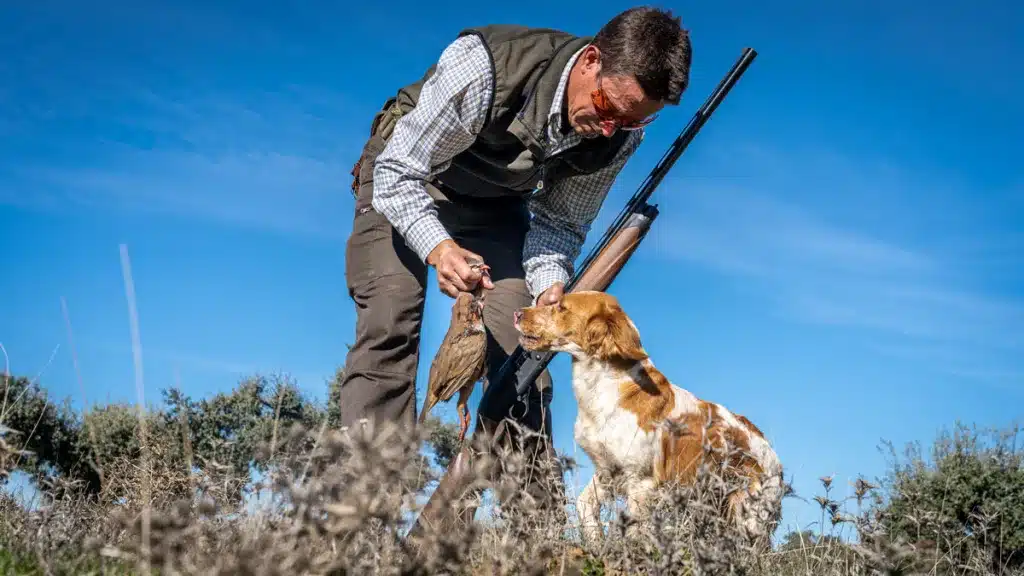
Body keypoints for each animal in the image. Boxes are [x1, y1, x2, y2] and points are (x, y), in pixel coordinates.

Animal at [512, 291, 782, 541]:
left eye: (561, 307)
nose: (517, 313)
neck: (604, 386)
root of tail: (770, 451)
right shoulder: (608, 470)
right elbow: (584, 505)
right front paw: (595, 542)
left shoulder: (641, 482)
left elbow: (632, 533)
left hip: (749, 518)